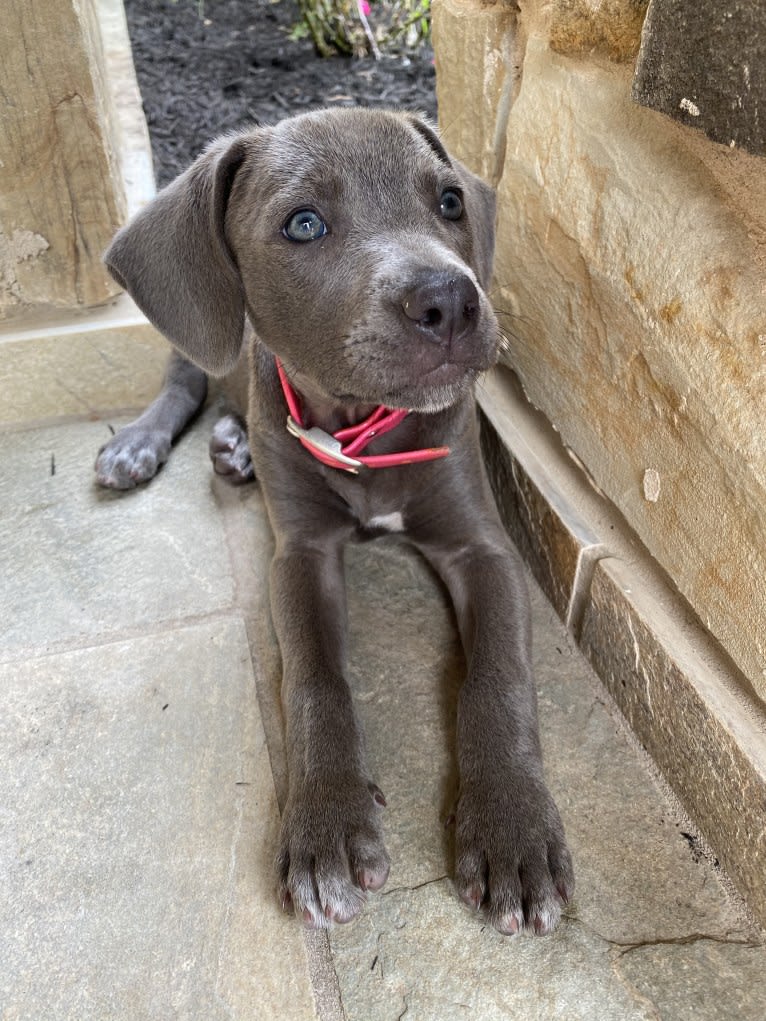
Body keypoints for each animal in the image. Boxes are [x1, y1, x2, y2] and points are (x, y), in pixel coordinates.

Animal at [96, 109, 571, 935]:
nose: (451, 300)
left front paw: (513, 824)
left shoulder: (483, 545)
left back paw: (231, 446)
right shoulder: (300, 555)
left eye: (450, 201)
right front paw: (325, 822)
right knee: (186, 377)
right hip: (200, 347)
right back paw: (142, 443)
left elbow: (499, 675)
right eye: (304, 223)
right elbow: (315, 677)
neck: (363, 428)